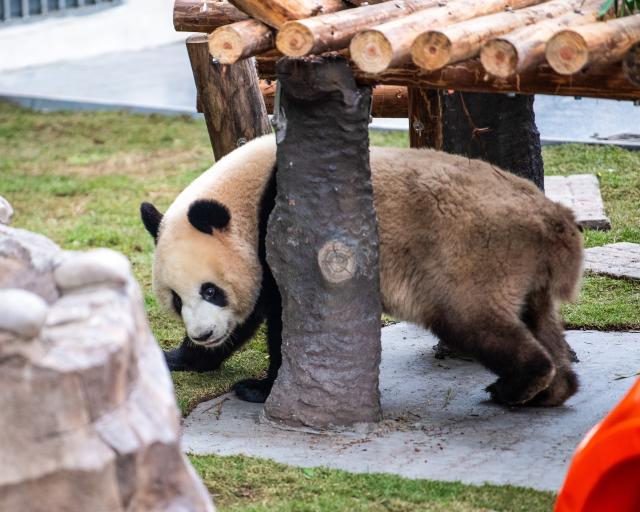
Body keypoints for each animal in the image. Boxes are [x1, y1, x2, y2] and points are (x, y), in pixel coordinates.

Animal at [140, 134, 583, 407]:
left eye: (210, 290)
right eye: (176, 300)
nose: (203, 333)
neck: (250, 189)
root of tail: (554, 223)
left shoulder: (288, 233)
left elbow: (285, 318)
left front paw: (258, 388)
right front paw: (179, 357)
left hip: (475, 256)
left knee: (476, 323)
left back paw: (516, 385)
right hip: (524, 273)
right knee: (538, 320)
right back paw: (552, 390)